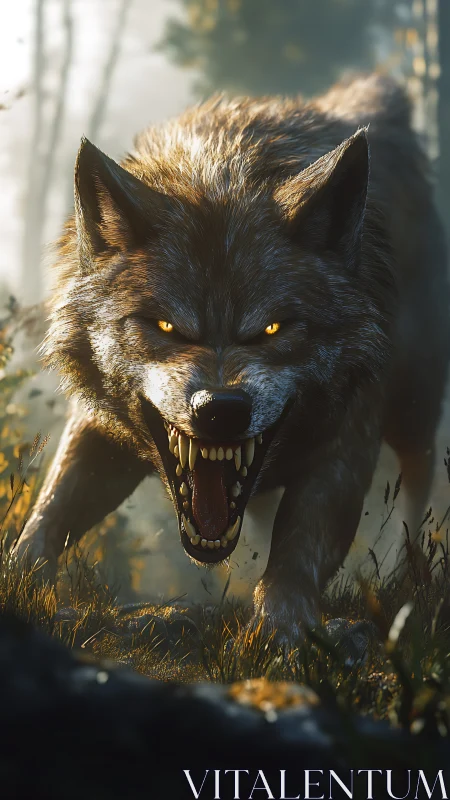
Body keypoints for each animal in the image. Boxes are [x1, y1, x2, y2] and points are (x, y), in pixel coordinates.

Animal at [15, 73, 450, 644]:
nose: (219, 410)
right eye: (167, 327)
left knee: (419, 481)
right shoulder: (98, 431)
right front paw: (17, 582)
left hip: (414, 407)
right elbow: (48, 515)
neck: (223, 168)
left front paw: (283, 628)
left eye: (271, 329)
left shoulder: (347, 443)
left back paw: (407, 576)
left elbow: (300, 546)